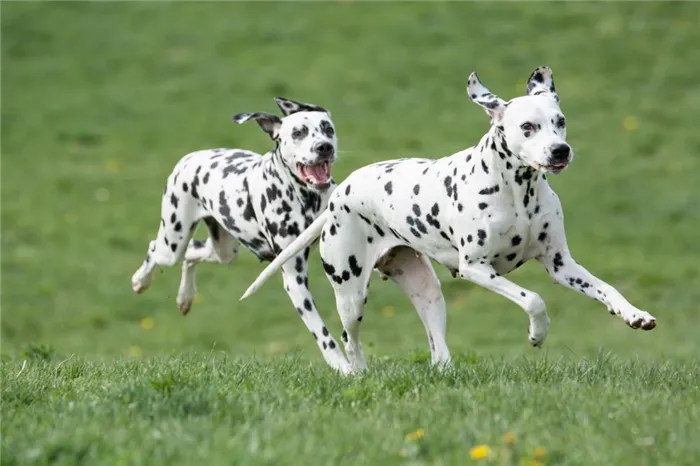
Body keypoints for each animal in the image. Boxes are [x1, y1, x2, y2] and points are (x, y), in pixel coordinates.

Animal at [130, 96, 350, 374]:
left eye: (327, 128)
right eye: (298, 133)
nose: (324, 147)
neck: (307, 199)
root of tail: (190, 157)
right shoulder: (294, 278)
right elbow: (322, 334)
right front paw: (342, 366)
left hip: (224, 251)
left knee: (191, 254)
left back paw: (185, 296)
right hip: (172, 242)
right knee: (154, 249)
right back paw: (141, 280)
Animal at [241, 65, 656, 374]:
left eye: (561, 121)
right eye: (528, 127)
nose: (560, 150)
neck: (517, 192)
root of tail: (341, 192)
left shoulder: (561, 265)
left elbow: (607, 289)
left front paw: (634, 314)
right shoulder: (477, 268)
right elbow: (535, 299)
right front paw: (538, 334)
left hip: (428, 292)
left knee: (437, 348)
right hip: (351, 293)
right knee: (349, 339)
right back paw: (358, 373)